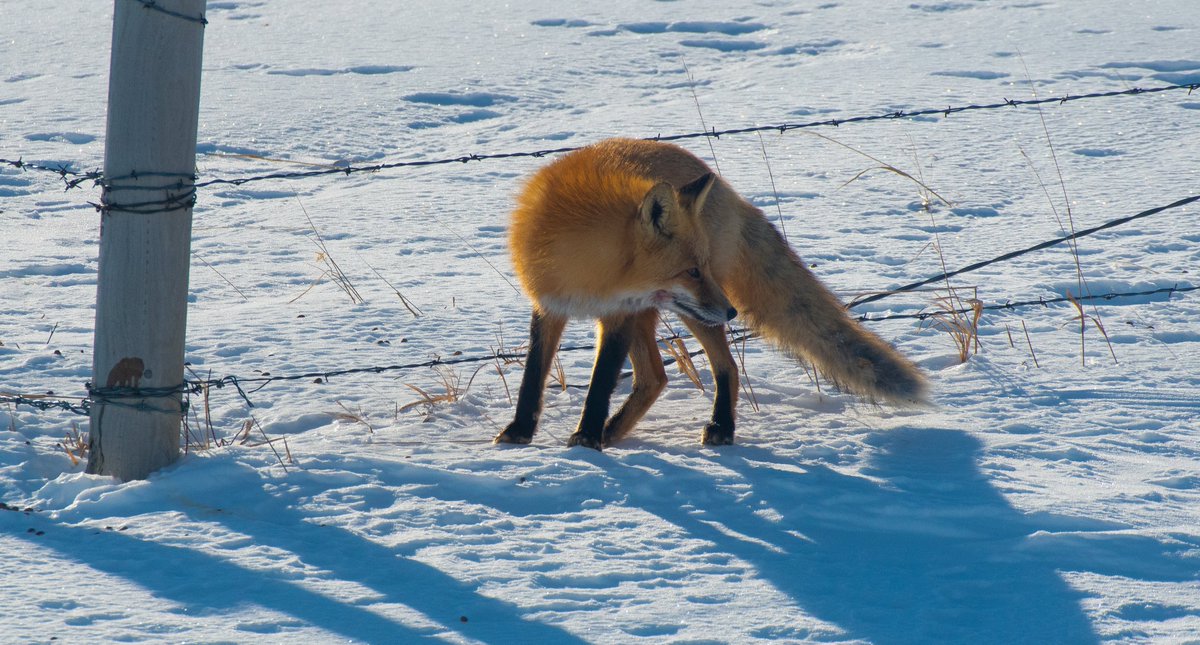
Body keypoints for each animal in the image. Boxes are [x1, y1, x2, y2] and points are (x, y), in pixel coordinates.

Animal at [493, 138, 926, 450]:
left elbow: (600, 383)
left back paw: (720, 426)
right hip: (665, 312)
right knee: (654, 378)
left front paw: (586, 438)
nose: (733, 312)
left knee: (724, 367)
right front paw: (519, 432)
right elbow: (533, 375)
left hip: (690, 314)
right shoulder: (549, 306)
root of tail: (724, 186)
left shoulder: (619, 314)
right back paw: (615, 430)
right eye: (691, 271)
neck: (587, 270)